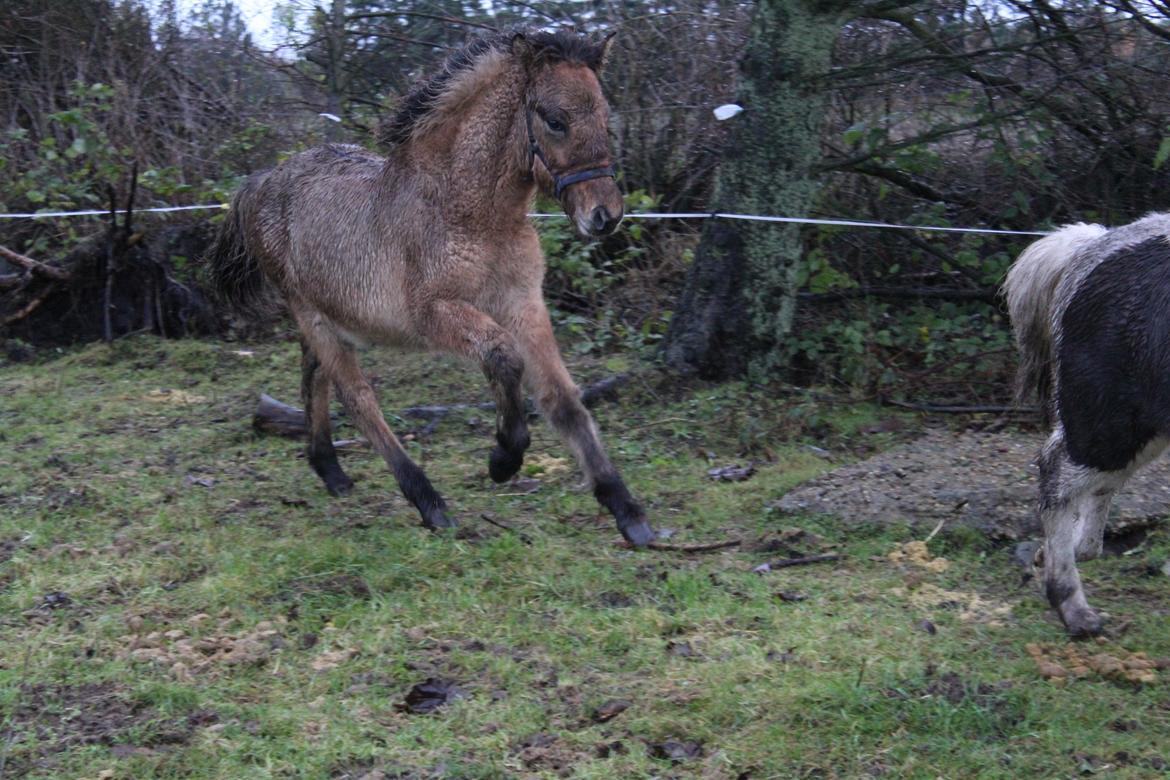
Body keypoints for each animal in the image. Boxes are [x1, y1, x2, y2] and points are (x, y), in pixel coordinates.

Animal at [207, 32, 655, 549]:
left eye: (605, 116)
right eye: (554, 120)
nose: (605, 215)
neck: (472, 212)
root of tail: (264, 179)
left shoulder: (523, 302)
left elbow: (563, 399)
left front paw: (627, 510)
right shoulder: (433, 314)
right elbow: (504, 358)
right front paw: (504, 459)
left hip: (328, 315)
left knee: (314, 374)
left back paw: (331, 471)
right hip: (309, 313)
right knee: (357, 397)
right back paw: (429, 501)